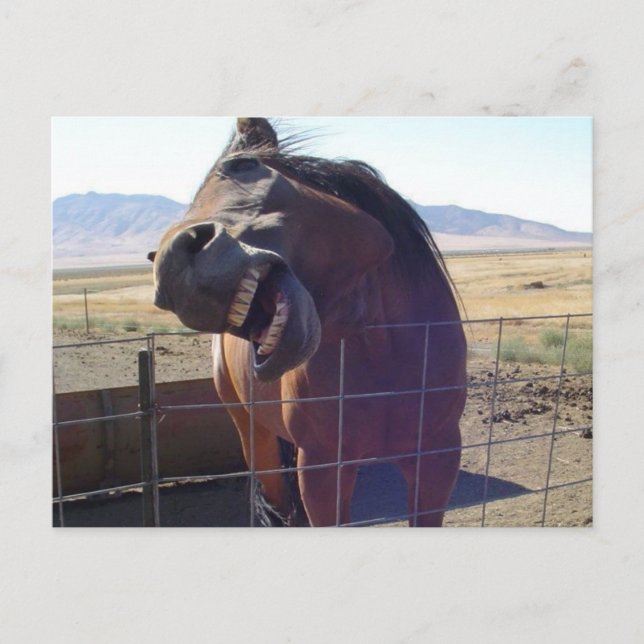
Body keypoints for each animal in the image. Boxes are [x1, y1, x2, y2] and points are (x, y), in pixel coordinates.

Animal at [149, 118, 467, 527]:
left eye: (242, 166)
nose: (168, 262)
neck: (387, 352)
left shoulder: (437, 459)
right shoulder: (322, 467)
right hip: (253, 434)